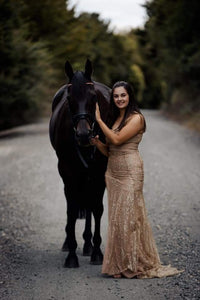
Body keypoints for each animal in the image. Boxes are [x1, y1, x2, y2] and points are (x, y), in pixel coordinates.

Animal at [49, 58, 110, 268]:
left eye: (93, 97)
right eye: (69, 99)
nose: (83, 135)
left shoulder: (99, 173)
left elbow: (97, 209)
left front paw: (97, 252)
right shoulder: (68, 172)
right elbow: (72, 210)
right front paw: (71, 255)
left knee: (90, 205)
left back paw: (89, 245)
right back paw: (72, 244)